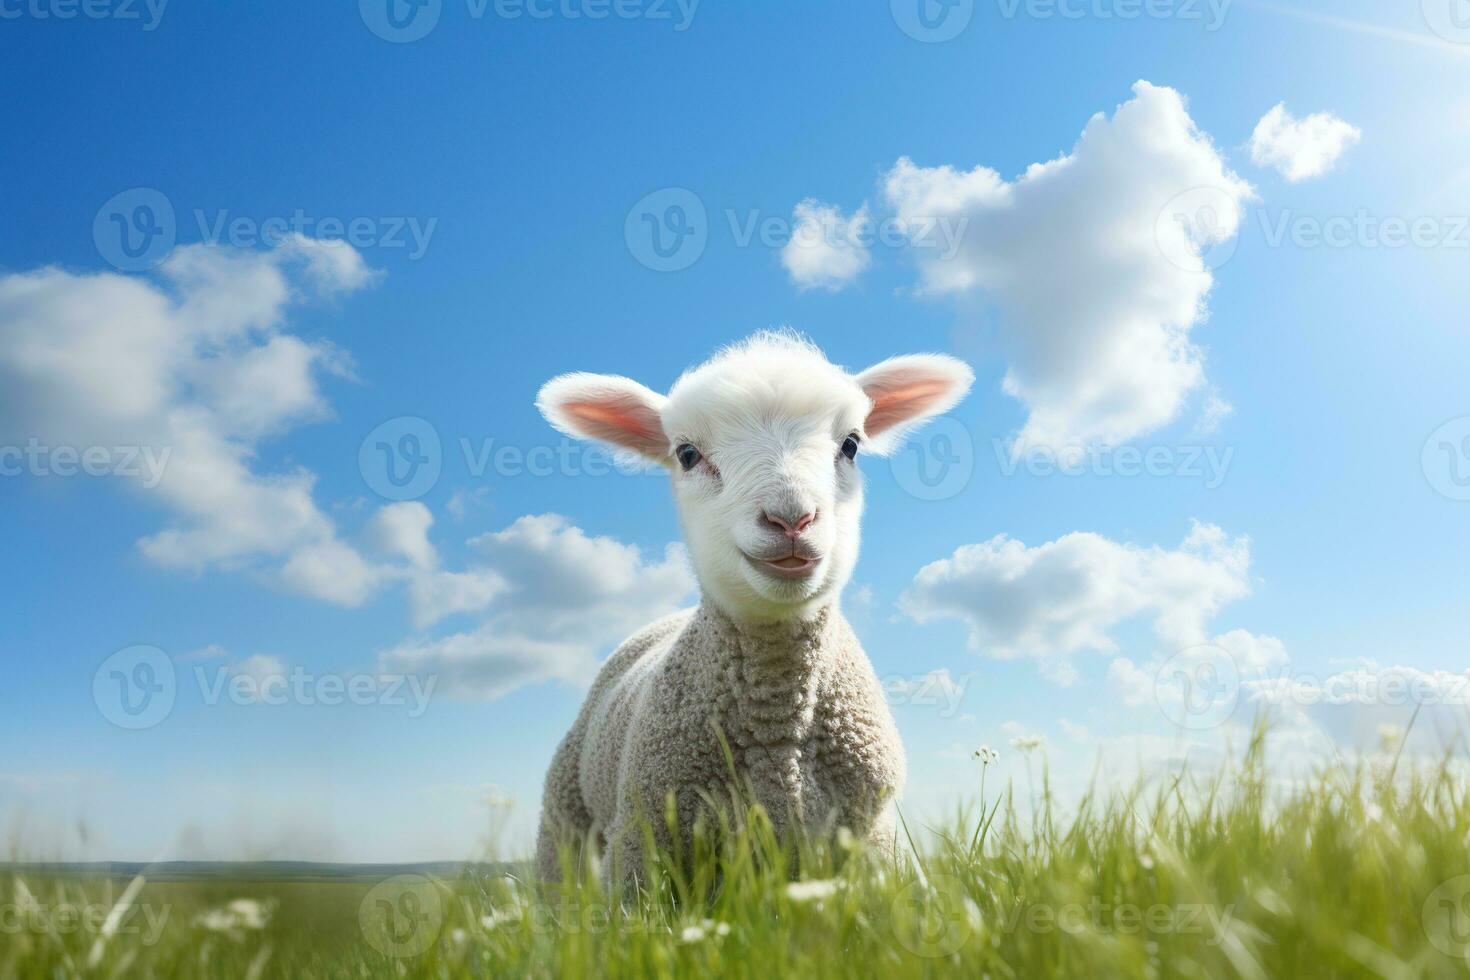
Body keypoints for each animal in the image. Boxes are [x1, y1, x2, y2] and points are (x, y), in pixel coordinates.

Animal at [535, 332, 970, 887]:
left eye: (851, 444)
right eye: (687, 454)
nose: (792, 519)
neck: (774, 725)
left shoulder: (873, 838)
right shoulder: (640, 837)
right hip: (566, 808)